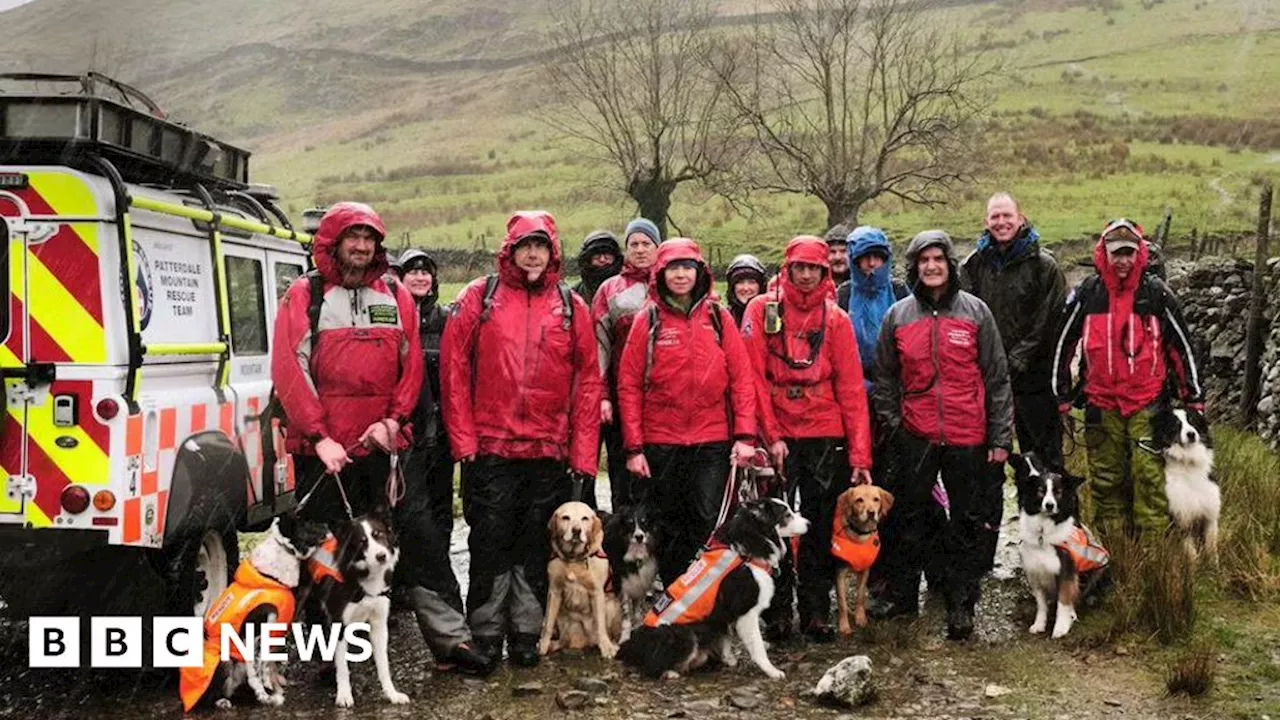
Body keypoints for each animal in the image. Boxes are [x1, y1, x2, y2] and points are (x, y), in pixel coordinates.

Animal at [181, 512, 330, 707]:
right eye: (308, 523)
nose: (328, 527)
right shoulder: (254, 631)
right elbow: (259, 670)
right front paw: (265, 694)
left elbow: (266, 665)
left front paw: (273, 691)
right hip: (223, 659)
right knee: (212, 693)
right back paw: (222, 701)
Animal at [537, 499, 622, 655]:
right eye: (566, 517)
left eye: (585, 518)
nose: (576, 530)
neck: (574, 559)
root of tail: (585, 641)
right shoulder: (554, 591)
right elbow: (548, 624)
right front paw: (544, 645)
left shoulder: (597, 592)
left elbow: (601, 625)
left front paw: (606, 648)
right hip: (562, 615)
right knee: (563, 639)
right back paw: (554, 645)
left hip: (612, 605)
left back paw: (611, 644)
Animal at [824, 481, 896, 632]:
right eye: (859, 500)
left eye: (876, 499)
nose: (871, 512)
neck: (859, 535)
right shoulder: (840, 573)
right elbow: (842, 602)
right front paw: (844, 625)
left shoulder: (865, 571)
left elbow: (860, 596)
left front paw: (860, 617)